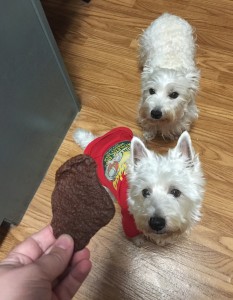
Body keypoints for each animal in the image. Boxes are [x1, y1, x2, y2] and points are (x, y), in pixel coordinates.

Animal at [73, 126, 205, 246]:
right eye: (145, 192)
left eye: (176, 192)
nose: (156, 223)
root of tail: (96, 141)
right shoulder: (128, 217)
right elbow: (132, 231)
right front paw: (139, 240)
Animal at [138, 12, 200, 141]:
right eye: (151, 91)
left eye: (174, 94)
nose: (155, 113)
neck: (171, 66)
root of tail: (168, 15)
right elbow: (149, 123)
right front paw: (149, 133)